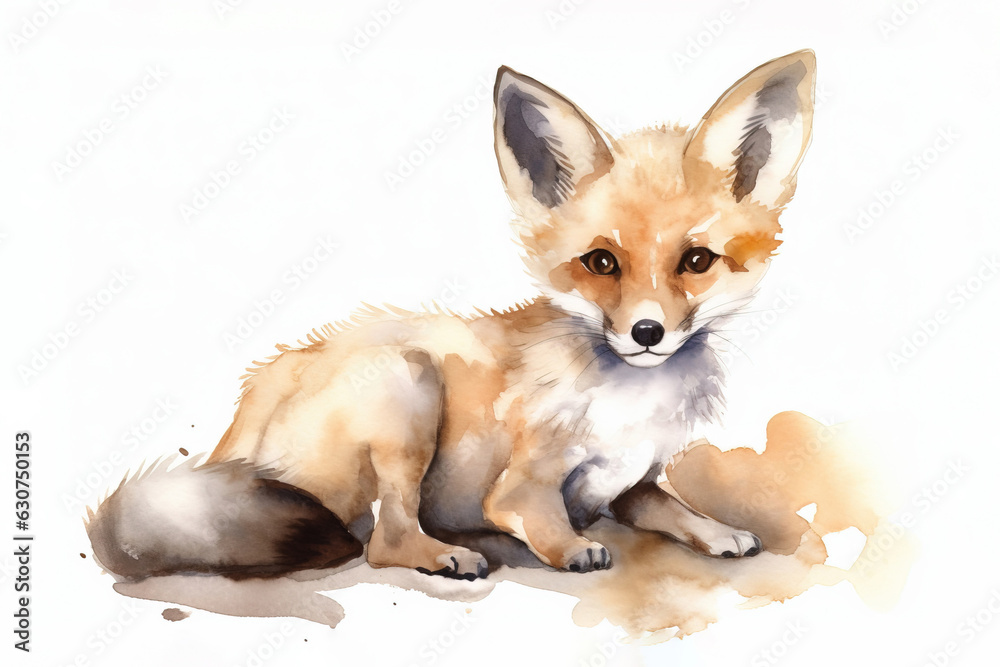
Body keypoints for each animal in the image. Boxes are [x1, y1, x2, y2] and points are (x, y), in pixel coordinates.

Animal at [87, 50, 816, 582]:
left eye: (696, 260)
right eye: (601, 262)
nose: (646, 333)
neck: (631, 402)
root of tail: (245, 413)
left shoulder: (630, 484)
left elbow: (676, 507)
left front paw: (719, 531)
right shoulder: (522, 487)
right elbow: (537, 516)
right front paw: (571, 548)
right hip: (408, 389)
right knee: (381, 540)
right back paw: (444, 554)